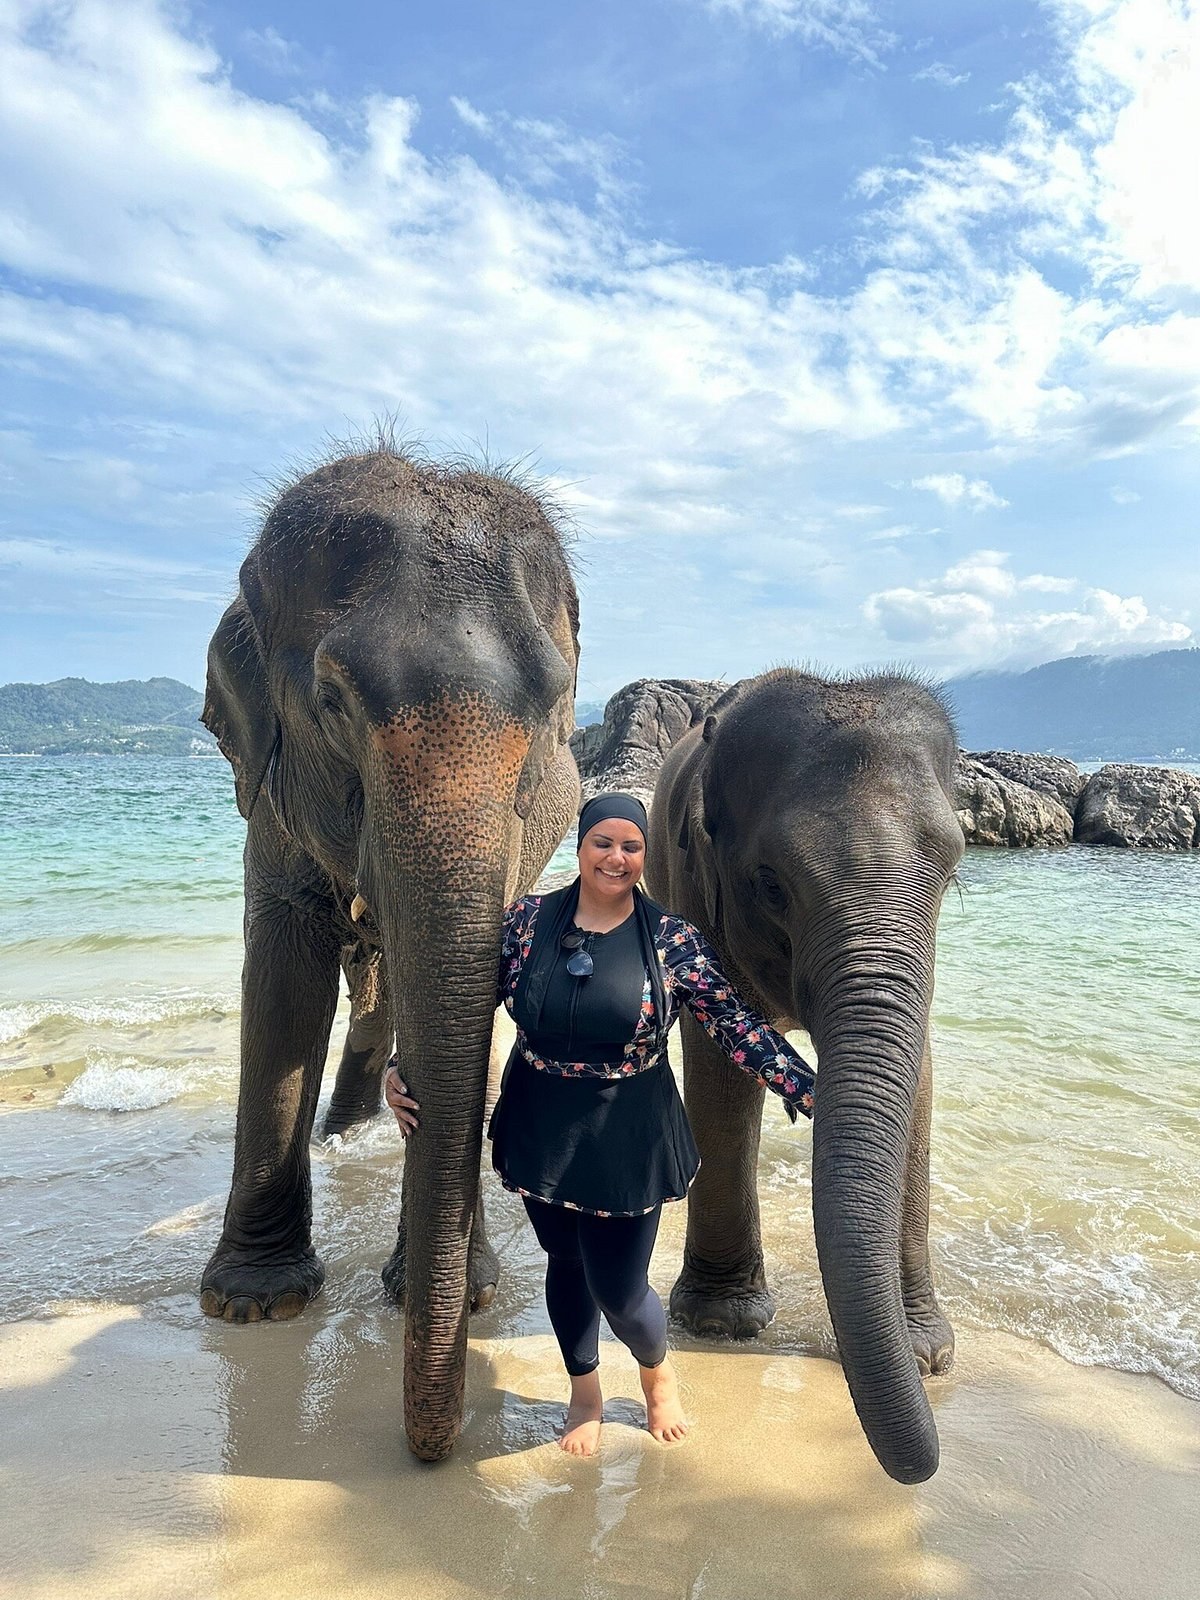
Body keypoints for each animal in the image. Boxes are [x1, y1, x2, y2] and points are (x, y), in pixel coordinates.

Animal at [199, 444, 581, 1462]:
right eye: (331, 703)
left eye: (555, 710)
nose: (430, 1452)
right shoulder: (269, 798)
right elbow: (282, 974)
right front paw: (253, 1304)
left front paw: (466, 1293)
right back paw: (344, 1134)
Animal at [645, 668, 964, 1484]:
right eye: (770, 882)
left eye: (952, 870)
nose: (928, 1464)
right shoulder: (694, 893)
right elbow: (719, 1057)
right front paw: (722, 1325)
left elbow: (917, 1073)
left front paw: (927, 1352)